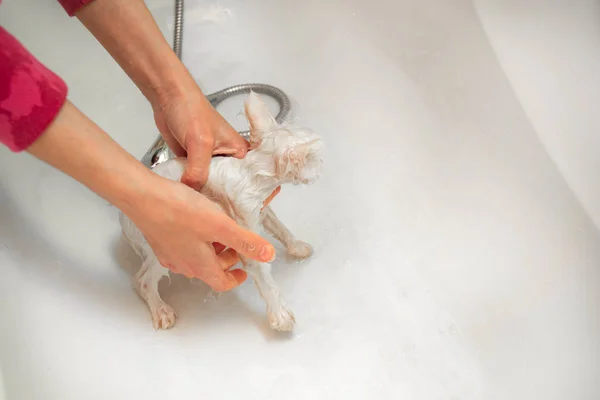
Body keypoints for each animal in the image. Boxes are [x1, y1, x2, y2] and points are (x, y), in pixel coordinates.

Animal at [118, 94, 324, 332]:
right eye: (317, 159)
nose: (323, 166)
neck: (252, 170)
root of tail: (122, 218)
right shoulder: (244, 226)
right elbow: (263, 274)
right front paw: (280, 315)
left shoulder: (259, 209)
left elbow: (280, 228)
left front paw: (296, 247)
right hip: (164, 245)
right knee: (142, 280)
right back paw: (161, 310)